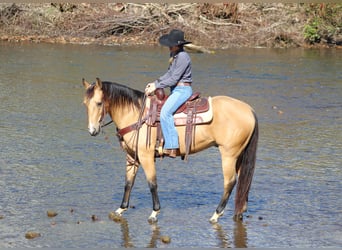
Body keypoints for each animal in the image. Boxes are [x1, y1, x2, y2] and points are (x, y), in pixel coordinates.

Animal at [83, 77, 258, 224]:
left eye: (99, 103)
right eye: (85, 103)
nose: (92, 130)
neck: (137, 115)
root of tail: (249, 109)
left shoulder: (146, 156)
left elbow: (152, 183)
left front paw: (154, 213)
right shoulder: (132, 157)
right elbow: (128, 183)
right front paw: (120, 209)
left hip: (229, 155)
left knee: (230, 181)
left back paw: (216, 214)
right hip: (239, 155)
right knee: (243, 180)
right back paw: (239, 212)